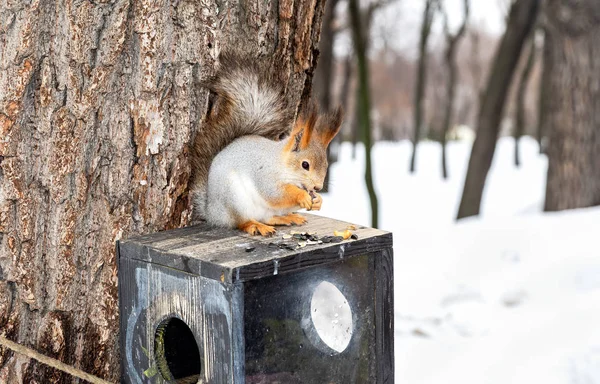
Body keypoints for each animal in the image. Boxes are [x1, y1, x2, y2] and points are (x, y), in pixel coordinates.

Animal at [192, 52, 342, 236]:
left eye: (327, 165)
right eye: (305, 165)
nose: (318, 187)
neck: (282, 164)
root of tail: (212, 212)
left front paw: (318, 201)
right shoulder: (264, 174)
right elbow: (275, 193)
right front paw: (301, 196)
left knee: (268, 217)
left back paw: (286, 218)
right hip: (234, 198)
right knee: (241, 222)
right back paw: (255, 225)